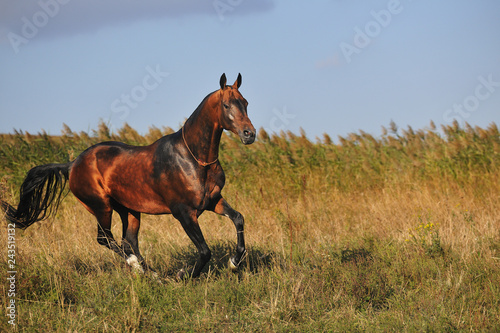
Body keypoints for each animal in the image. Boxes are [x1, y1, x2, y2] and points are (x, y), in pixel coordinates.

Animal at [0, 74, 254, 278]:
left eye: (245, 103)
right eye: (226, 105)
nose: (249, 134)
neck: (194, 160)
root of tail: (73, 164)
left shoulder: (212, 201)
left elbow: (238, 218)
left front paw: (234, 262)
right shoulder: (183, 212)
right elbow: (204, 251)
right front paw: (184, 274)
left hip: (129, 210)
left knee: (129, 240)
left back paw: (152, 274)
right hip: (101, 207)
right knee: (106, 239)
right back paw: (137, 266)